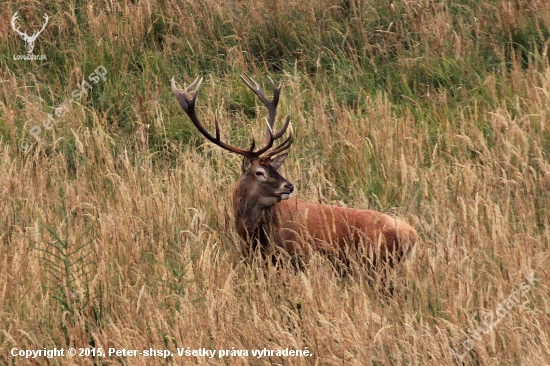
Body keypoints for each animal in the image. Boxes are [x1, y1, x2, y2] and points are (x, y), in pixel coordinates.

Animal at [172, 73, 418, 268]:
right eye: (259, 172)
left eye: (274, 167)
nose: (289, 186)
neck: (252, 235)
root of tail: (412, 236)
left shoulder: (300, 255)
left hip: (378, 263)